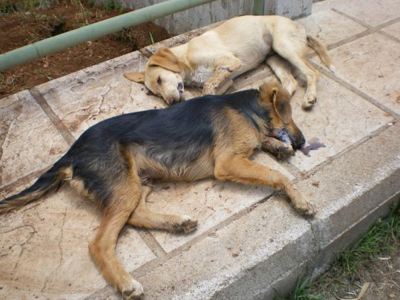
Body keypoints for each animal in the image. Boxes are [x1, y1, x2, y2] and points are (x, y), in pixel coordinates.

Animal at [0, 81, 312, 298]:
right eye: (291, 114)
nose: (301, 142)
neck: (245, 109)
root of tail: (70, 155)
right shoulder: (227, 163)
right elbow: (276, 175)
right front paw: (300, 199)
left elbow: (264, 149)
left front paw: (277, 147)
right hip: (123, 187)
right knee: (100, 243)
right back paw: (126, 283)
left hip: (137, 182)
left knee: (136, 215)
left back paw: (177, 223)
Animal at [126, 14, 332, 109]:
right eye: (155, 94)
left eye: (160, 79)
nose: (170, 103)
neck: (185, 58)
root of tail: (299, 26)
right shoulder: (228, 80)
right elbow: (212, 89)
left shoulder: (230, 61)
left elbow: (209, 84)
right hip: (274, 59)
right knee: (291, 83)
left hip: (283, 46)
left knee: (312, 73)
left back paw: (309, 97)